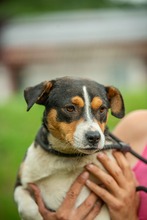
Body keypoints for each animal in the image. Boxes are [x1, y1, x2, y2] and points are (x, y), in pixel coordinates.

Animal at [13, 76, 124, 219]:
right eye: (70, 108)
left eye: (102, 109)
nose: (94, 137)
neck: (68, 156)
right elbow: (28, 207)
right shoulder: (21, 184)